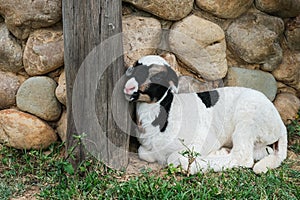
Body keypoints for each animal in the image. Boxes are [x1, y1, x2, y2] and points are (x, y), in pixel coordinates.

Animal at [123, 55, 288, 174]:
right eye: (134, 68)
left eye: (157, 77)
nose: (128, 88)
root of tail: (280, 126)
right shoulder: (147, 149)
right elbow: (143, 152)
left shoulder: (202, 140)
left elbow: (173, 158)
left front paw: (192, 165)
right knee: (263, 151)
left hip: (248, 120)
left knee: (243, 157)